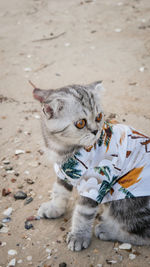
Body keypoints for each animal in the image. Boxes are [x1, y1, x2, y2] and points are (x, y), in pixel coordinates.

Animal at [32, 81, 150, 251]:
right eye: (80, 123)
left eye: (99, 117)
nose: (96, 130)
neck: (64, 150)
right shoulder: (64, 172)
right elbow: (60, 191)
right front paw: (54, 208)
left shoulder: (96, 182)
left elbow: (83, 213)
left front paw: (79, 236)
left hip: (124, 197)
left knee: (144, 233)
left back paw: (108, 230)